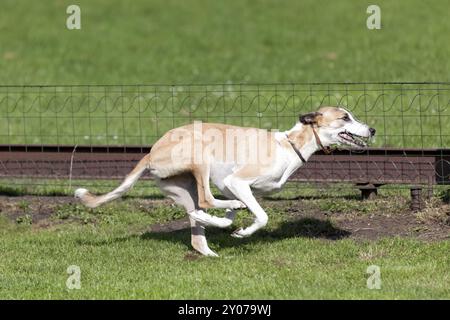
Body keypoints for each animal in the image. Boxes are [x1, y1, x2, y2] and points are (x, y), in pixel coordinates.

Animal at [74, 106, 376, 256]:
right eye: (345, 117)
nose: (372, 129)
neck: (290, 145)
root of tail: (150, 152)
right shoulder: (236, 182)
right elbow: (261, 216)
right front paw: (243, 231)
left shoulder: (235, 188)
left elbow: (232, 215)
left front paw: (232, 227)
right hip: (200, 158)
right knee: (206, 199)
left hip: (183, 188)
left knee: (197, 217)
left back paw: (207, 237)